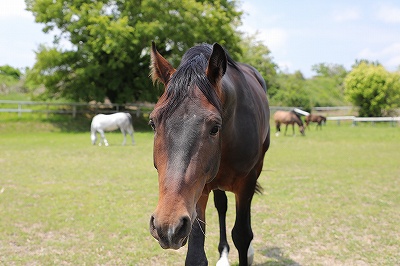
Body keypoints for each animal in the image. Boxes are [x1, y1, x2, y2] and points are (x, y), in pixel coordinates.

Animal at [148, 41, 270, 264]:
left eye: (215, 127)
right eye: (153, 123)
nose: (167, 226)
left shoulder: (246, 182)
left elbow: (242, 235)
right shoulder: (198, 191)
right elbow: (196, 254)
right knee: (221, 206)